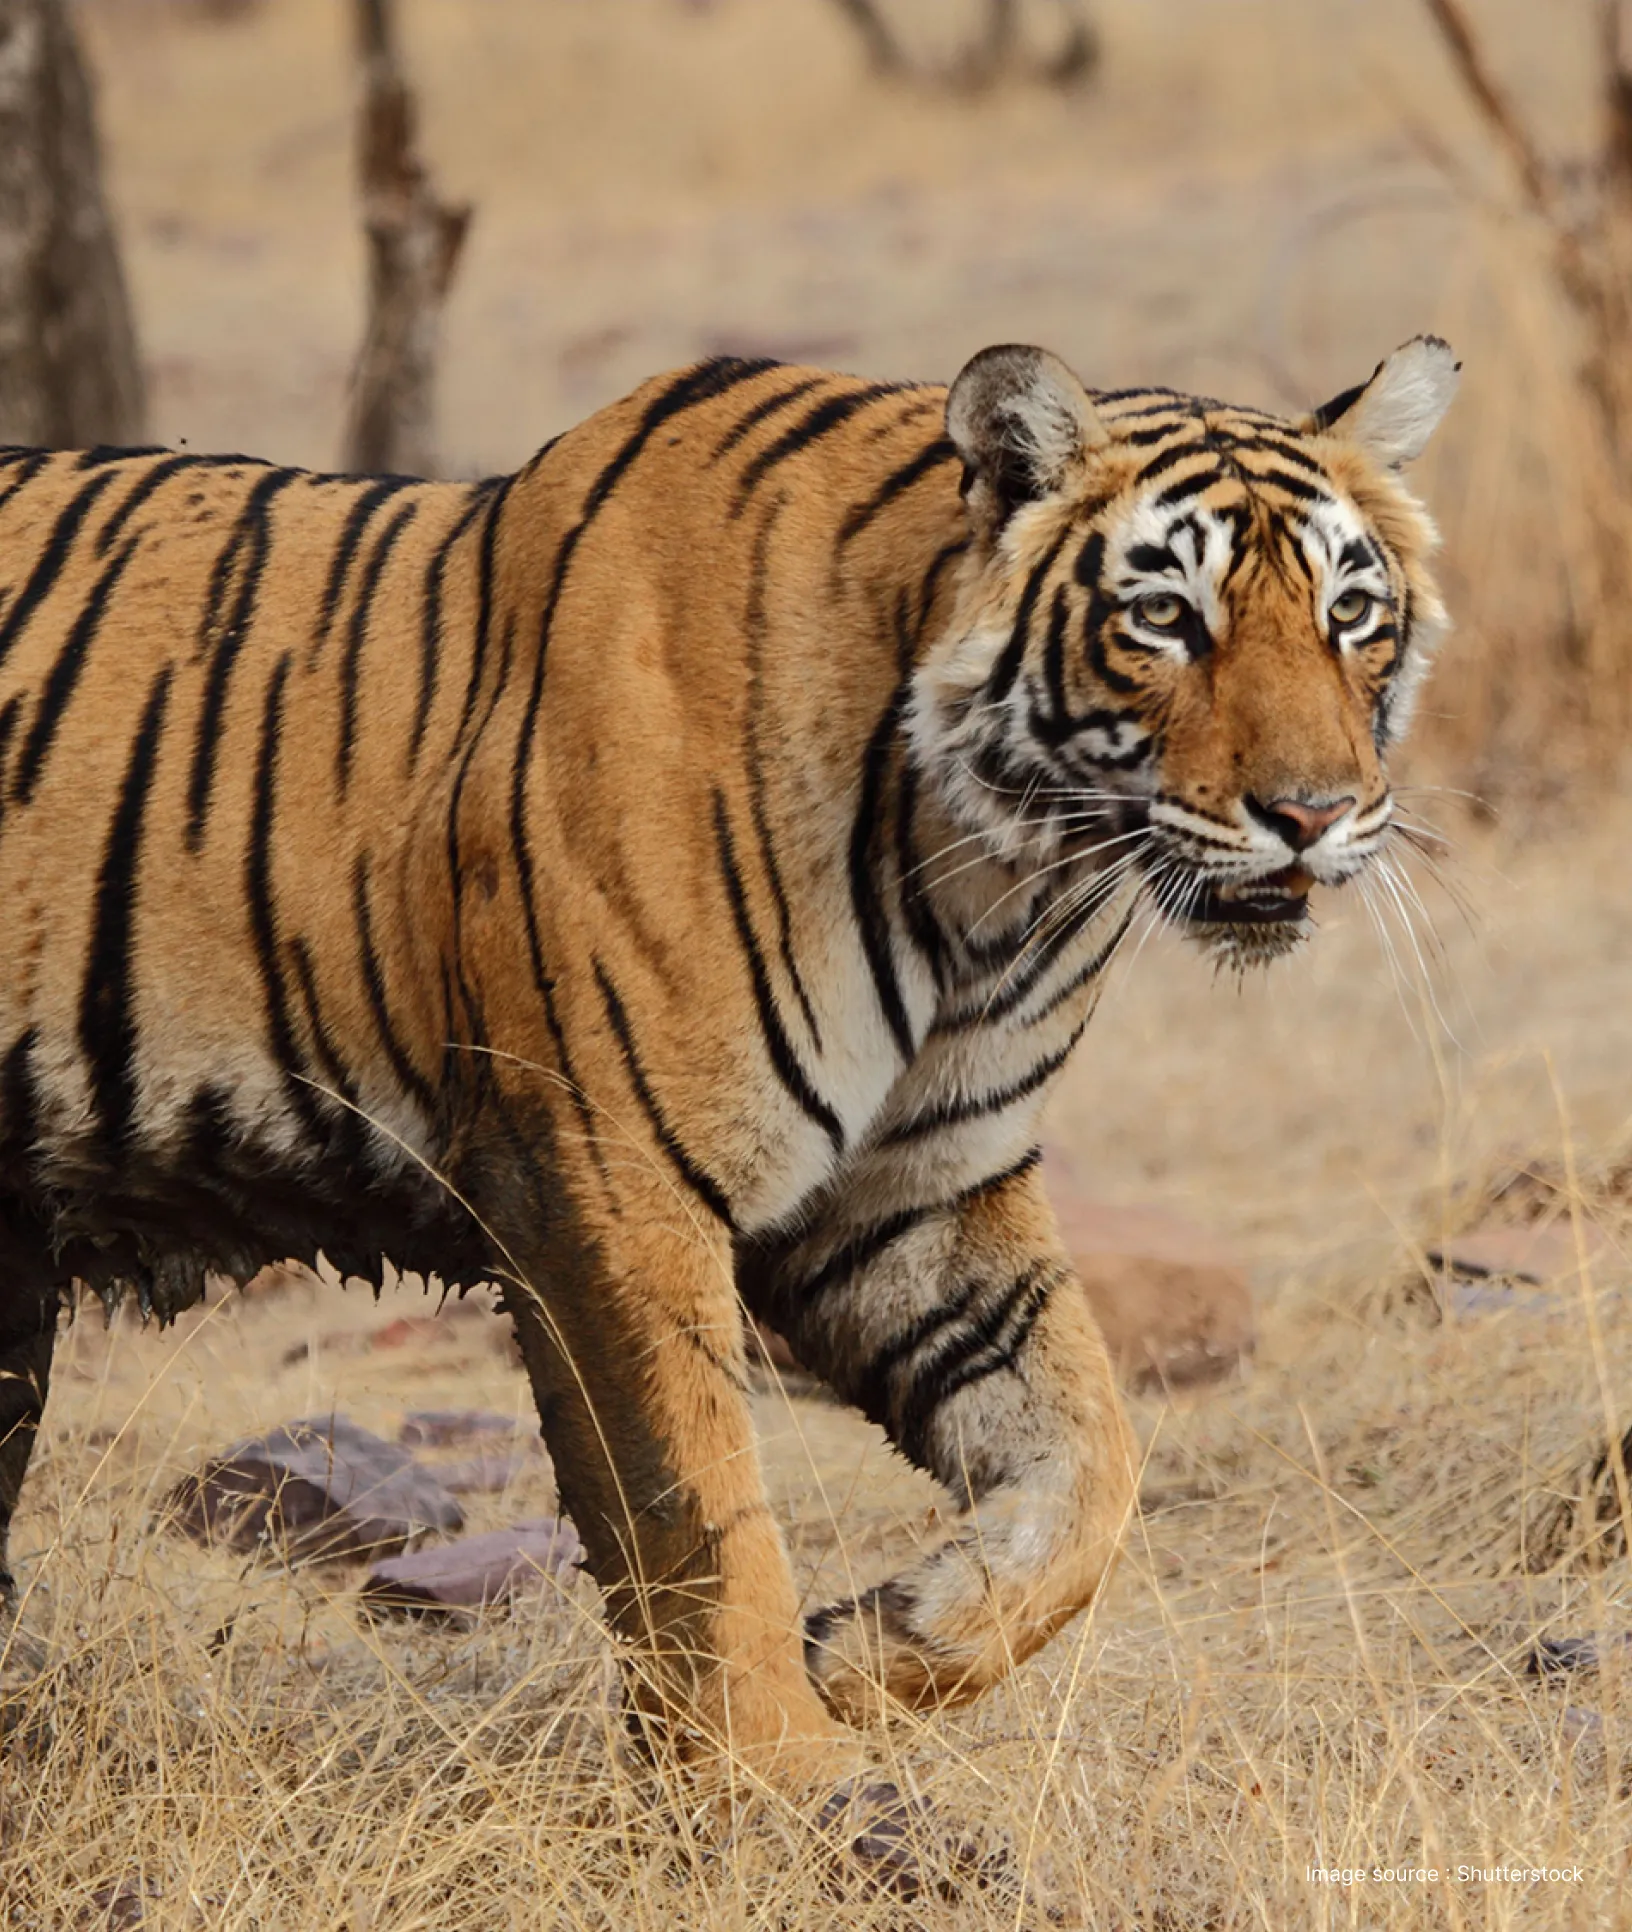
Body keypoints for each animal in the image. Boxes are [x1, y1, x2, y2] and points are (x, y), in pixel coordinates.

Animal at [0, 336, 1456, 1843]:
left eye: (1351, 614)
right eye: (1166, 616)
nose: (1314, 814)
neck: (992, 880)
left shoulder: (921, 1186)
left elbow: (1092, 1458)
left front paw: (885, 1645)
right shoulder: (607, 1172)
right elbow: (696, 1507)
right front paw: (787, 1787)